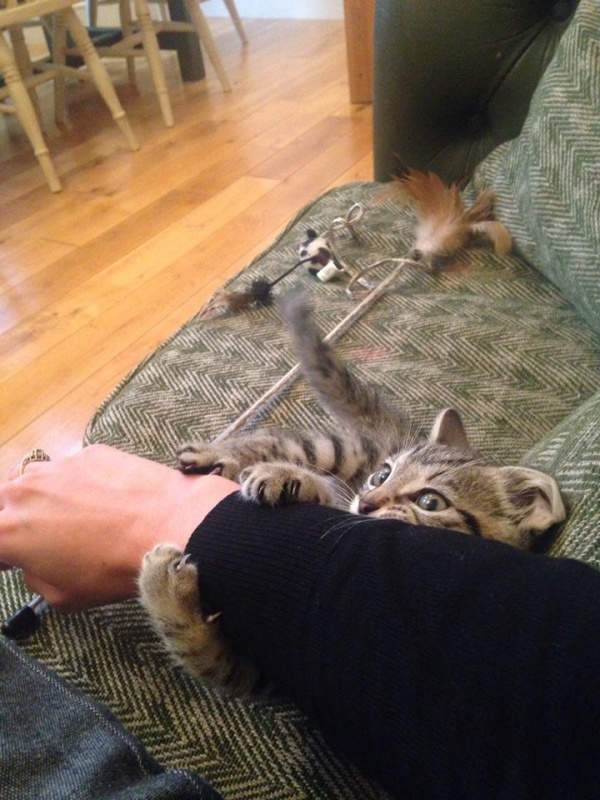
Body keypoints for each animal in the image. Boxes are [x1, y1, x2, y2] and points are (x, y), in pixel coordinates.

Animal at [138, 295, 566, 694]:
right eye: (382, 476)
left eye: (430, 502)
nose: (367, 501)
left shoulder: (256, 674)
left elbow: (197, 648)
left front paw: (162, 584)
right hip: (335, 449)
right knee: (274, 441)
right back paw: (218, 455)